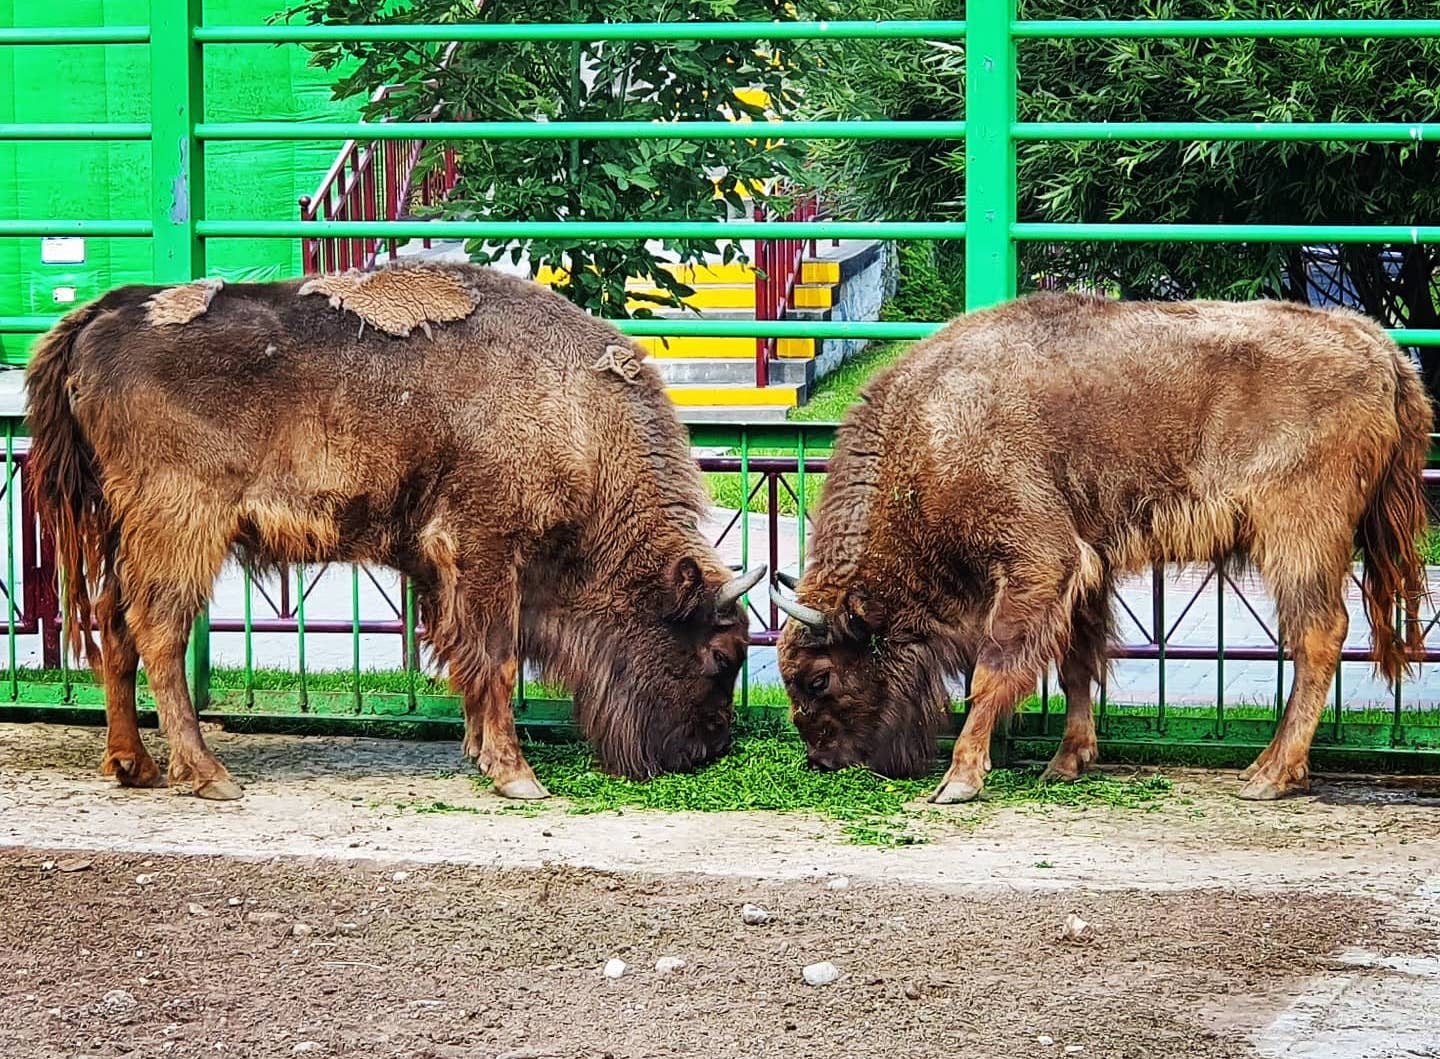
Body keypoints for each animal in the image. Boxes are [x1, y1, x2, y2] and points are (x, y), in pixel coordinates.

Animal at [25, 260, 766, 801]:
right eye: (719, 654)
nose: (709, 749)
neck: (577, 412)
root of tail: (100, 315)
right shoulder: (485, 549)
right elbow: (496, 657)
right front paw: (517, 775)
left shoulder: (443, 569)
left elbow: (467, 658)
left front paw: (480, 752)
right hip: (181, 527)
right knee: (160, 633)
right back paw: (207, 776)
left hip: (124, 532)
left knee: (115, 627)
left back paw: (132, 765)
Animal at [777, 292, 1428, 801]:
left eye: (818, 679)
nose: (823, 761)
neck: (932, 432)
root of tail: (1380, 348)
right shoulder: (1086, 570)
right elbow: (1076, 664)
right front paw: (1067, 762)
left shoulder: (1038, 561)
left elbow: (994, 667)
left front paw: (959, 780)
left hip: (1299, 537)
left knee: (1318, 635)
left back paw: (1270, 775)